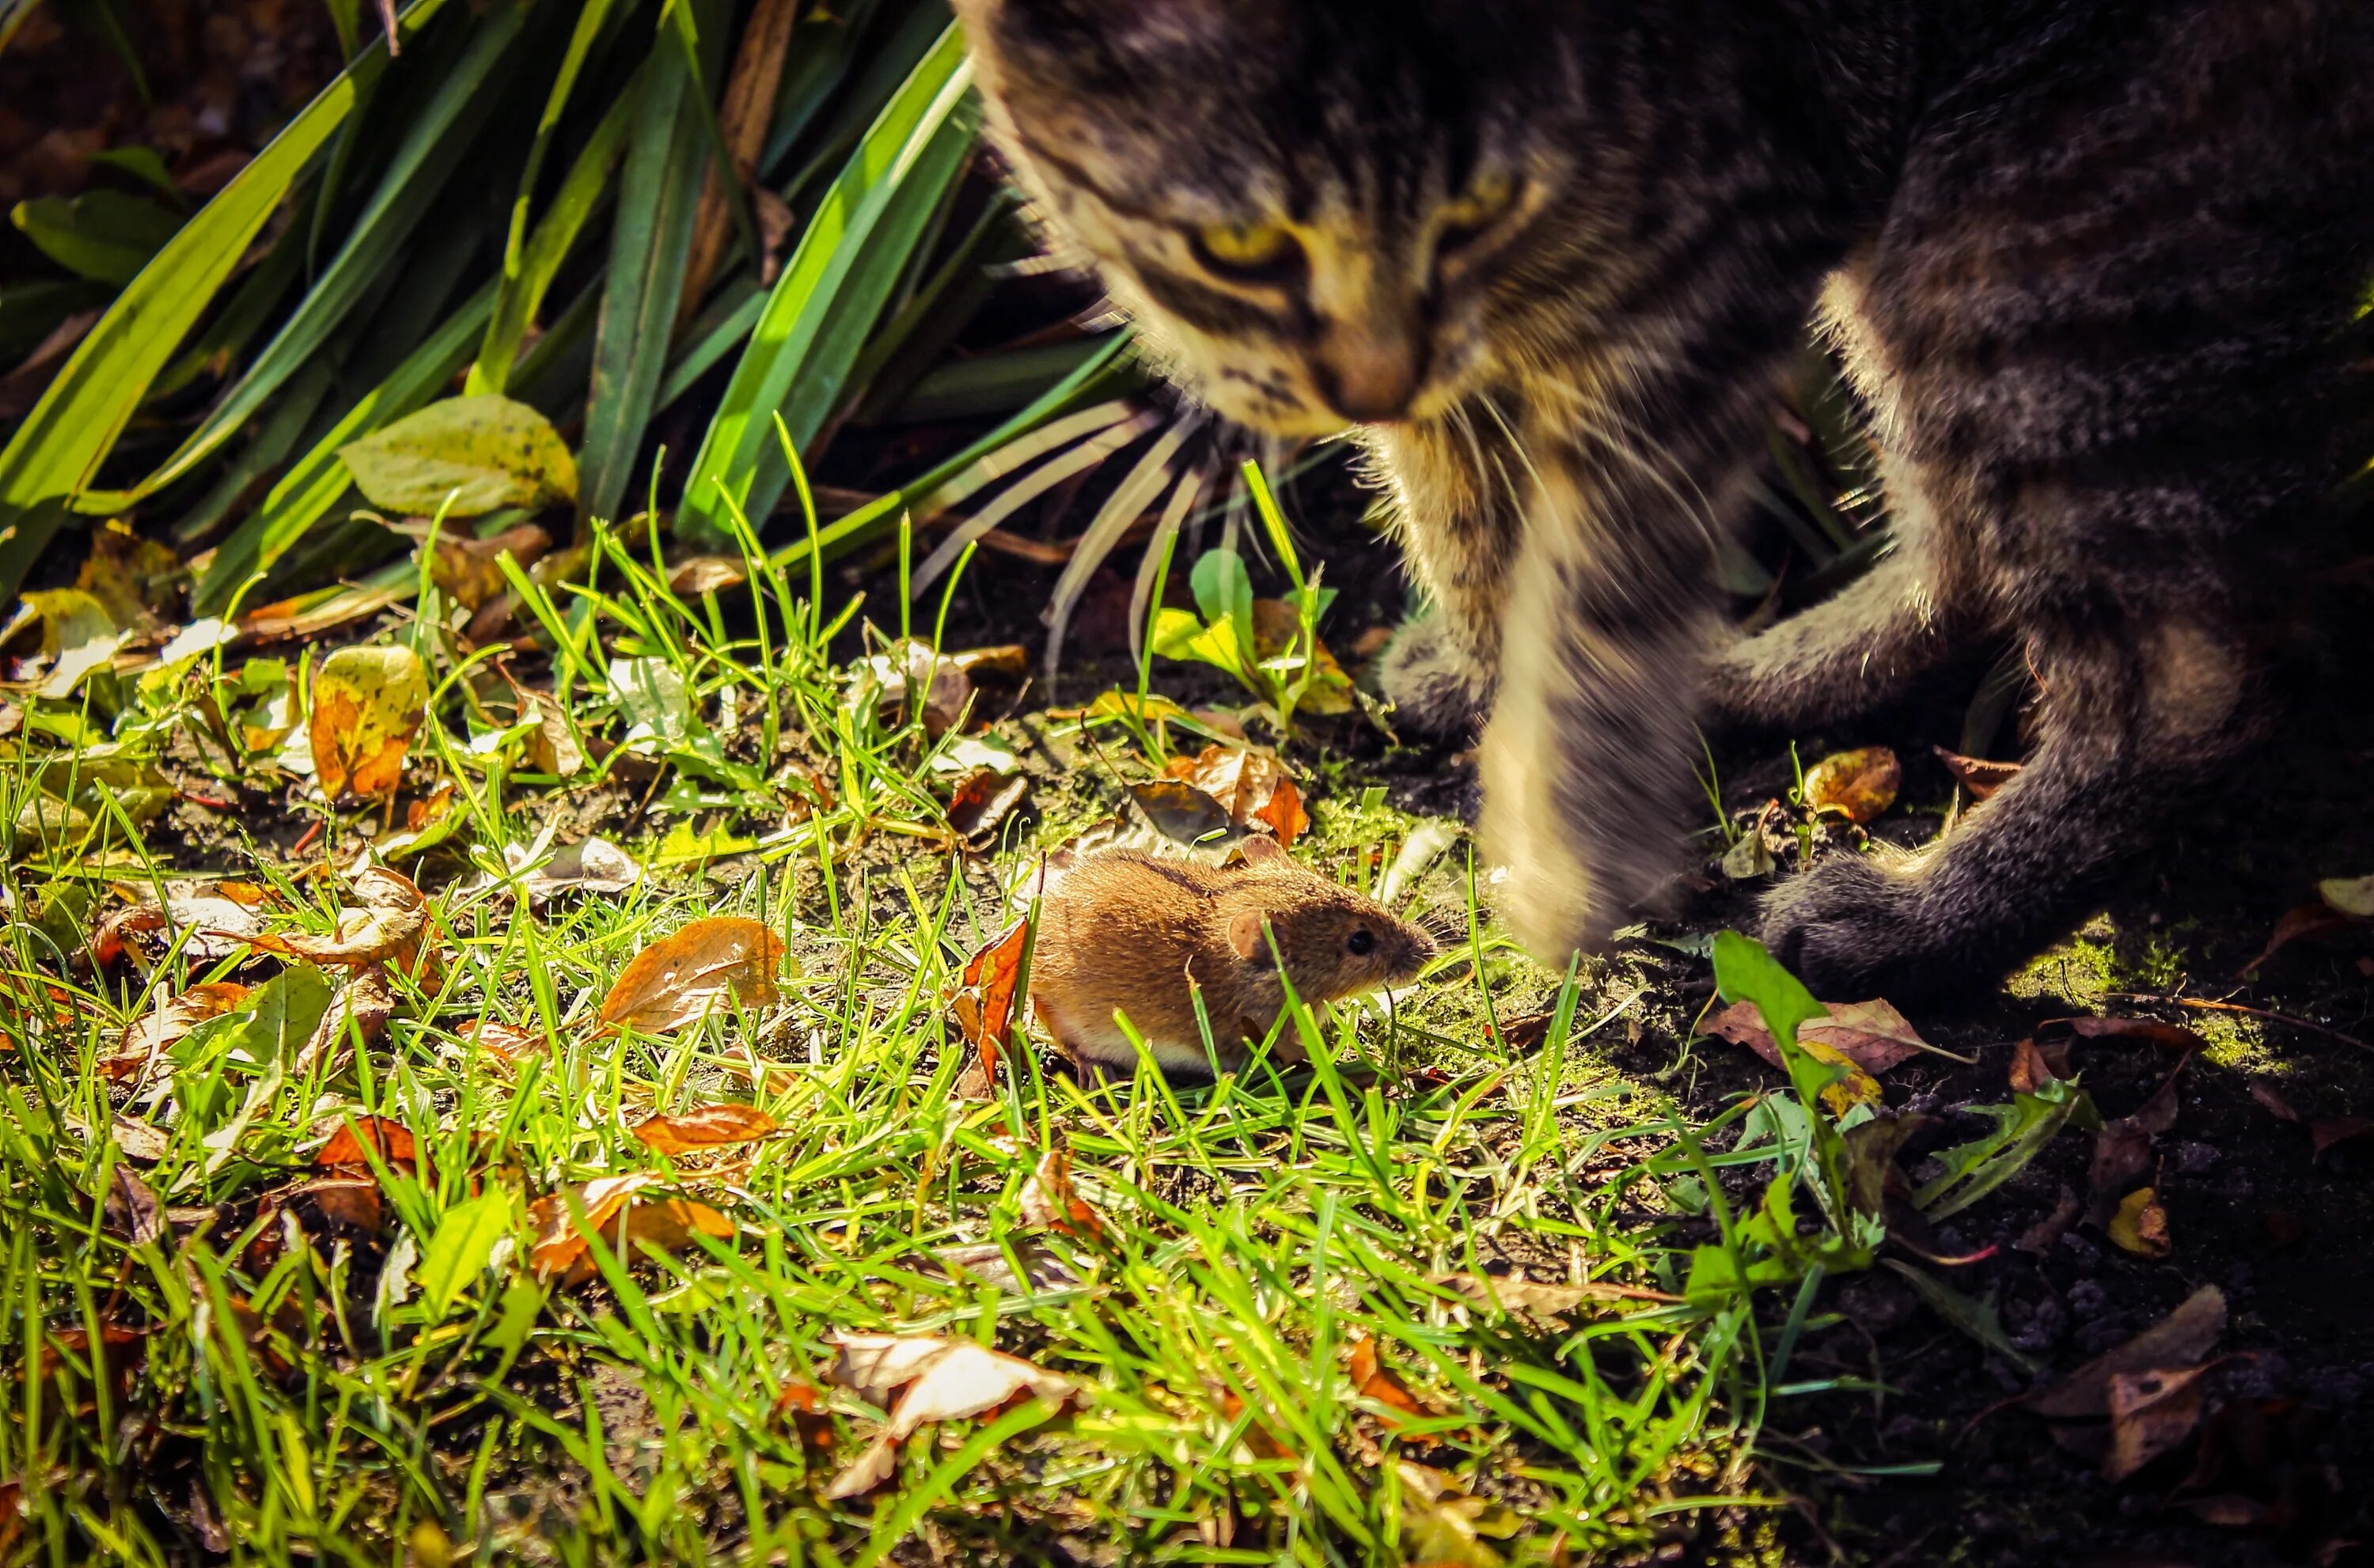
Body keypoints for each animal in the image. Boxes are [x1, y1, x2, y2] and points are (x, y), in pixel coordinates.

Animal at [950, 0, 2374, 991]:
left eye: (1472, 203)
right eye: (1239, 245)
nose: (1372, 370)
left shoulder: (1698, 286)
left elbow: (1597, 599)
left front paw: (1572, 846)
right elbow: (1469, 523)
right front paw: (1495, 682)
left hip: (2033, 216)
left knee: (2191, 675)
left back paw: (1922, 923)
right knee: (1961, 540)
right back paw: (1751, 678)